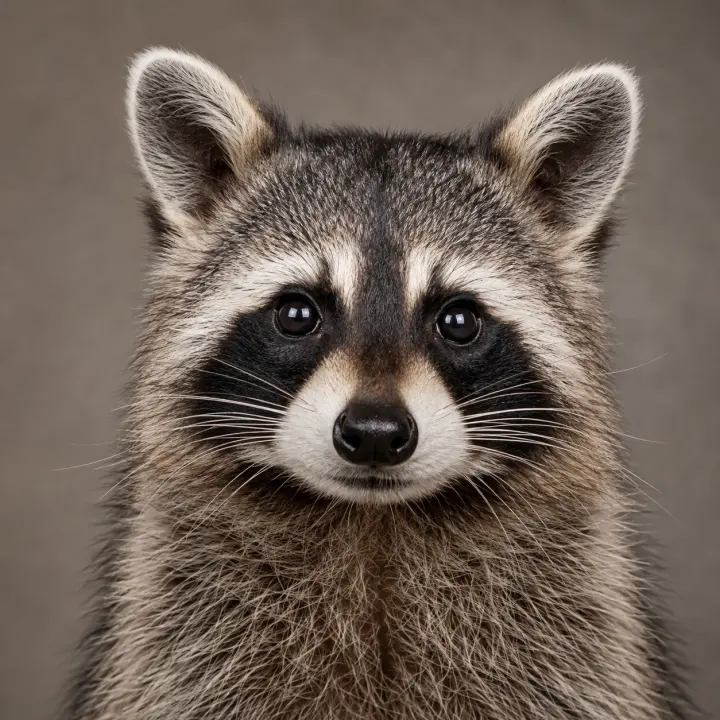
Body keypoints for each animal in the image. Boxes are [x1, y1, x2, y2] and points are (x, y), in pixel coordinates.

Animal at [66, 48, 691, 719]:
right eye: (297, 313)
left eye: (459, 321)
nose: (373, 433)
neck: (375, 526)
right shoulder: (181, 648)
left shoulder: (574, 646)